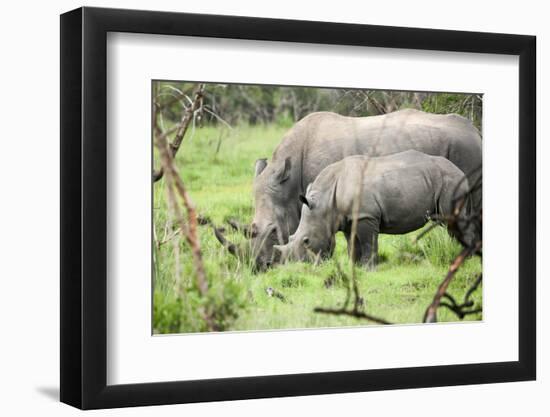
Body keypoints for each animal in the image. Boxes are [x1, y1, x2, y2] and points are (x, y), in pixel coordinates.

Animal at [276, 150, 474, 266]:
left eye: (306, 241)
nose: (299, 265)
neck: (325, 200)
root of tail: (462, 173)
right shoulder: (348, 218)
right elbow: (352, 244)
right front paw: (354, 266)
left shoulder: (366, 215)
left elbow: (367, 243)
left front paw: (368, 267)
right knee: (451, 225)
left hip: (451, 181)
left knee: (454, 221)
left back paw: (466, 258)